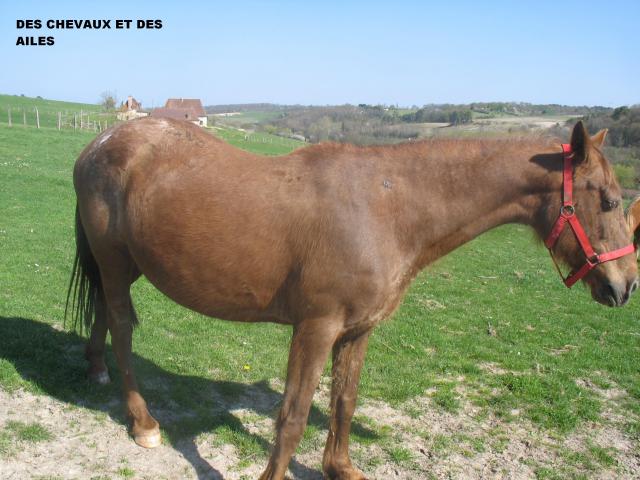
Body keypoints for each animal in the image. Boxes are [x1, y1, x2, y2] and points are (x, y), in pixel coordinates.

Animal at [67, 117, 636, 480]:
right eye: (609, 201)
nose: (624, 286)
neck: (388, 206)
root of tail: (101, 143)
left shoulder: (357, 331)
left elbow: (344, 402)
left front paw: (339, 467)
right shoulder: (316, 329)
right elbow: (294, 416)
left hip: (126, 265)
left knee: (103, 314)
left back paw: (94, 370)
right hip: (115, 263)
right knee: (121, 325)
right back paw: (142, 421)